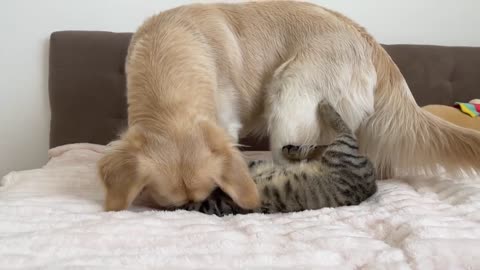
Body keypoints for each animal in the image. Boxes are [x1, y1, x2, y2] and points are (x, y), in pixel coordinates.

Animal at [179, 102, 376, 216]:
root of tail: (373, 183)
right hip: (334, 153)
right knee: (319, 147)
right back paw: (293, 150)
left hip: (341, 150)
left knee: (345, 129)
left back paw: (325, 106)